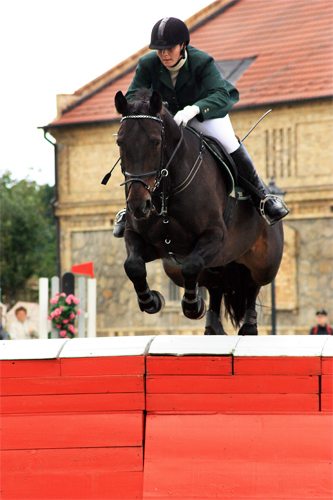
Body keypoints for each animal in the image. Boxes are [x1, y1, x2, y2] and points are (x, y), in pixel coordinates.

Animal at [111, 89, 282, 336]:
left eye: (156, 142)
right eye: (120, 142)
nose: (138, 205)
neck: (167, 191)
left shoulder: (215, 236)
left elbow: (191, 265)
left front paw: (192, 305)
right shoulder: (144, 241)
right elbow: (133, 265)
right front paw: (152, 301)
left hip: (264, 262)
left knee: (253, 284)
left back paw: (248, 326)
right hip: (195, 266)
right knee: (216, 285)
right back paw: (212, 325)